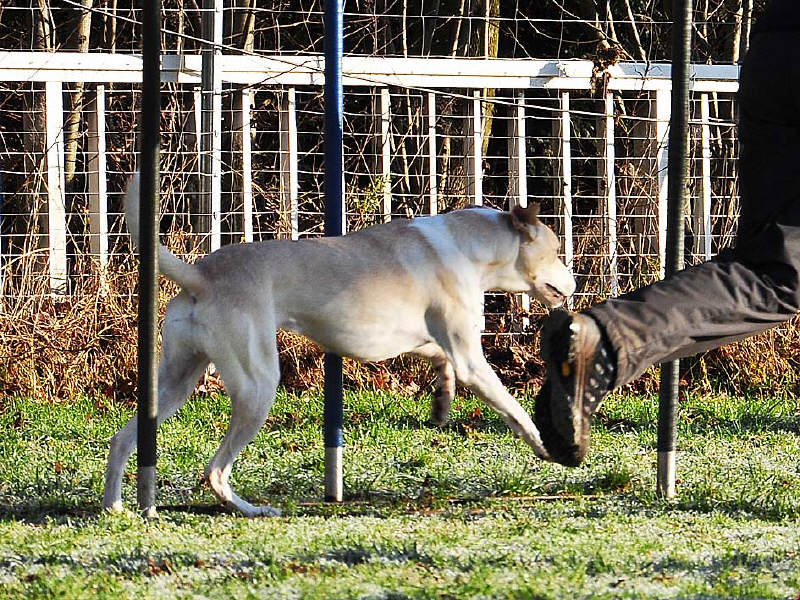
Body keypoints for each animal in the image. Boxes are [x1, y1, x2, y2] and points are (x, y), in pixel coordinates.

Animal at [104, 175, 575, 516]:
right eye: (555, 251)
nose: (574, 284)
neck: (471, 247)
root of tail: (202, 276)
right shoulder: (471, 358)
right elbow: (511, 406)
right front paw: (546, 445)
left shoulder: (418, 340)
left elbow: (438, 359)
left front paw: (442, 402)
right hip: (257, 387)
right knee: (215, 471)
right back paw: (252, 510)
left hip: (174, 383)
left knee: (123, 439)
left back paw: (117, 506)